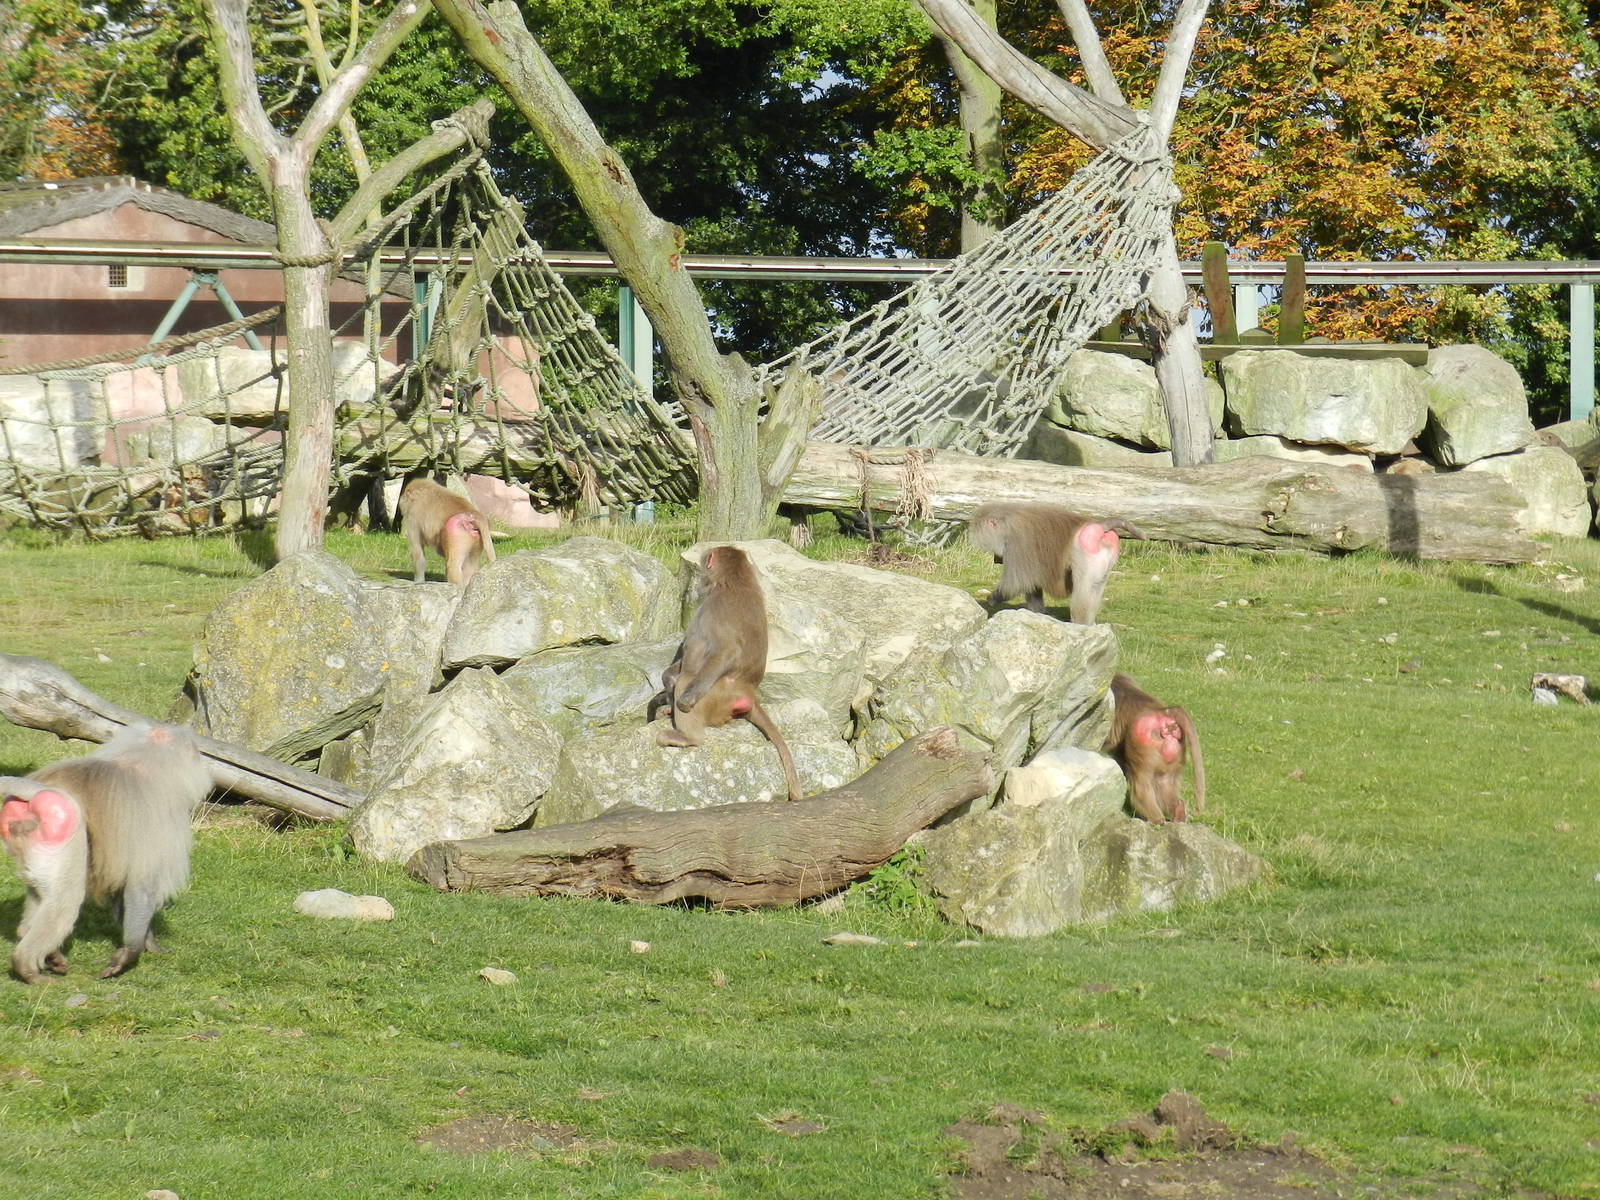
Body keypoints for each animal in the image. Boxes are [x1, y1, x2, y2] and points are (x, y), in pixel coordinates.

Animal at [0, 724, 211, 983]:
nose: (201, 761)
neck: (139, 761)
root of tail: (34, 792)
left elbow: (121, 889)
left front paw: (146, 943)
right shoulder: (158, 814)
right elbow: (141, 886)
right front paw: (132, 951)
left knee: (39, 891)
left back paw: (42, 951)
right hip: (66, 829)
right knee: (65, 900)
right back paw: (27, 969)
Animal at [652, 545, 804, 802]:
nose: (701, 578)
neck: (735, 581)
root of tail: (747, 691)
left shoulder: (711, 607)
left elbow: (725, 651)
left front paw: (682, 700)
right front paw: (667, 683)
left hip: (714, 696)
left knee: (688, 678)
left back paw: (687, 736)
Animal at [967, 501, 1146, 624]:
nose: (997, 560)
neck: (1008, 523)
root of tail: (1100, 526)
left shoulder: (1019, 543)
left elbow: (1017, 582)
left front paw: (992, 599)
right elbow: (1032, 584)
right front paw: (1037, 614)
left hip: (1086, 554)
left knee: (1083, 593)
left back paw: (1080, 625)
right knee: (1095, 589)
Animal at [1102, 673, 1205, 824]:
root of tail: (1165, 713)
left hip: (1141, 738)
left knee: (1140, 785)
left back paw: (1156, 820)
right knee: (1165, 782)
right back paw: (1177, 813)